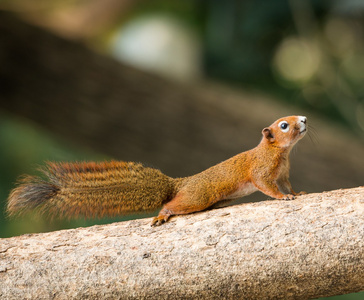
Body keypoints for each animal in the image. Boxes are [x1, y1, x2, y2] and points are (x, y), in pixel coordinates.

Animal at [7, 115, 308, 225]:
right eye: (284, 125)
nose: (304, 119)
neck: (280, 153)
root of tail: (180, 183)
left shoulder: (283, 173)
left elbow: (287, 184)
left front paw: (298, 193)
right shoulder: (262, 171)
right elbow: (266, 186)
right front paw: (283, 198)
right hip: (196, 198)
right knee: (173, 205)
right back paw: (162, 215)